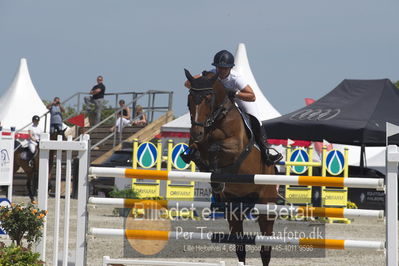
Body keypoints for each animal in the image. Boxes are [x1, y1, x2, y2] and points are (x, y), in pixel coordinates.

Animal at [185, 69, 276, 264]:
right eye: (189, 100)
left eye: (207, 99)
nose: (196, 132)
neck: (216, 119)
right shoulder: (199, 143)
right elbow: (196, 151)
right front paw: (211, 174)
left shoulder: (236, 146)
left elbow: (215, 147)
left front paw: (216, 173)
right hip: (234, 210)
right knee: (240, 246)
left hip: (266, 206)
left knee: (266, 248)